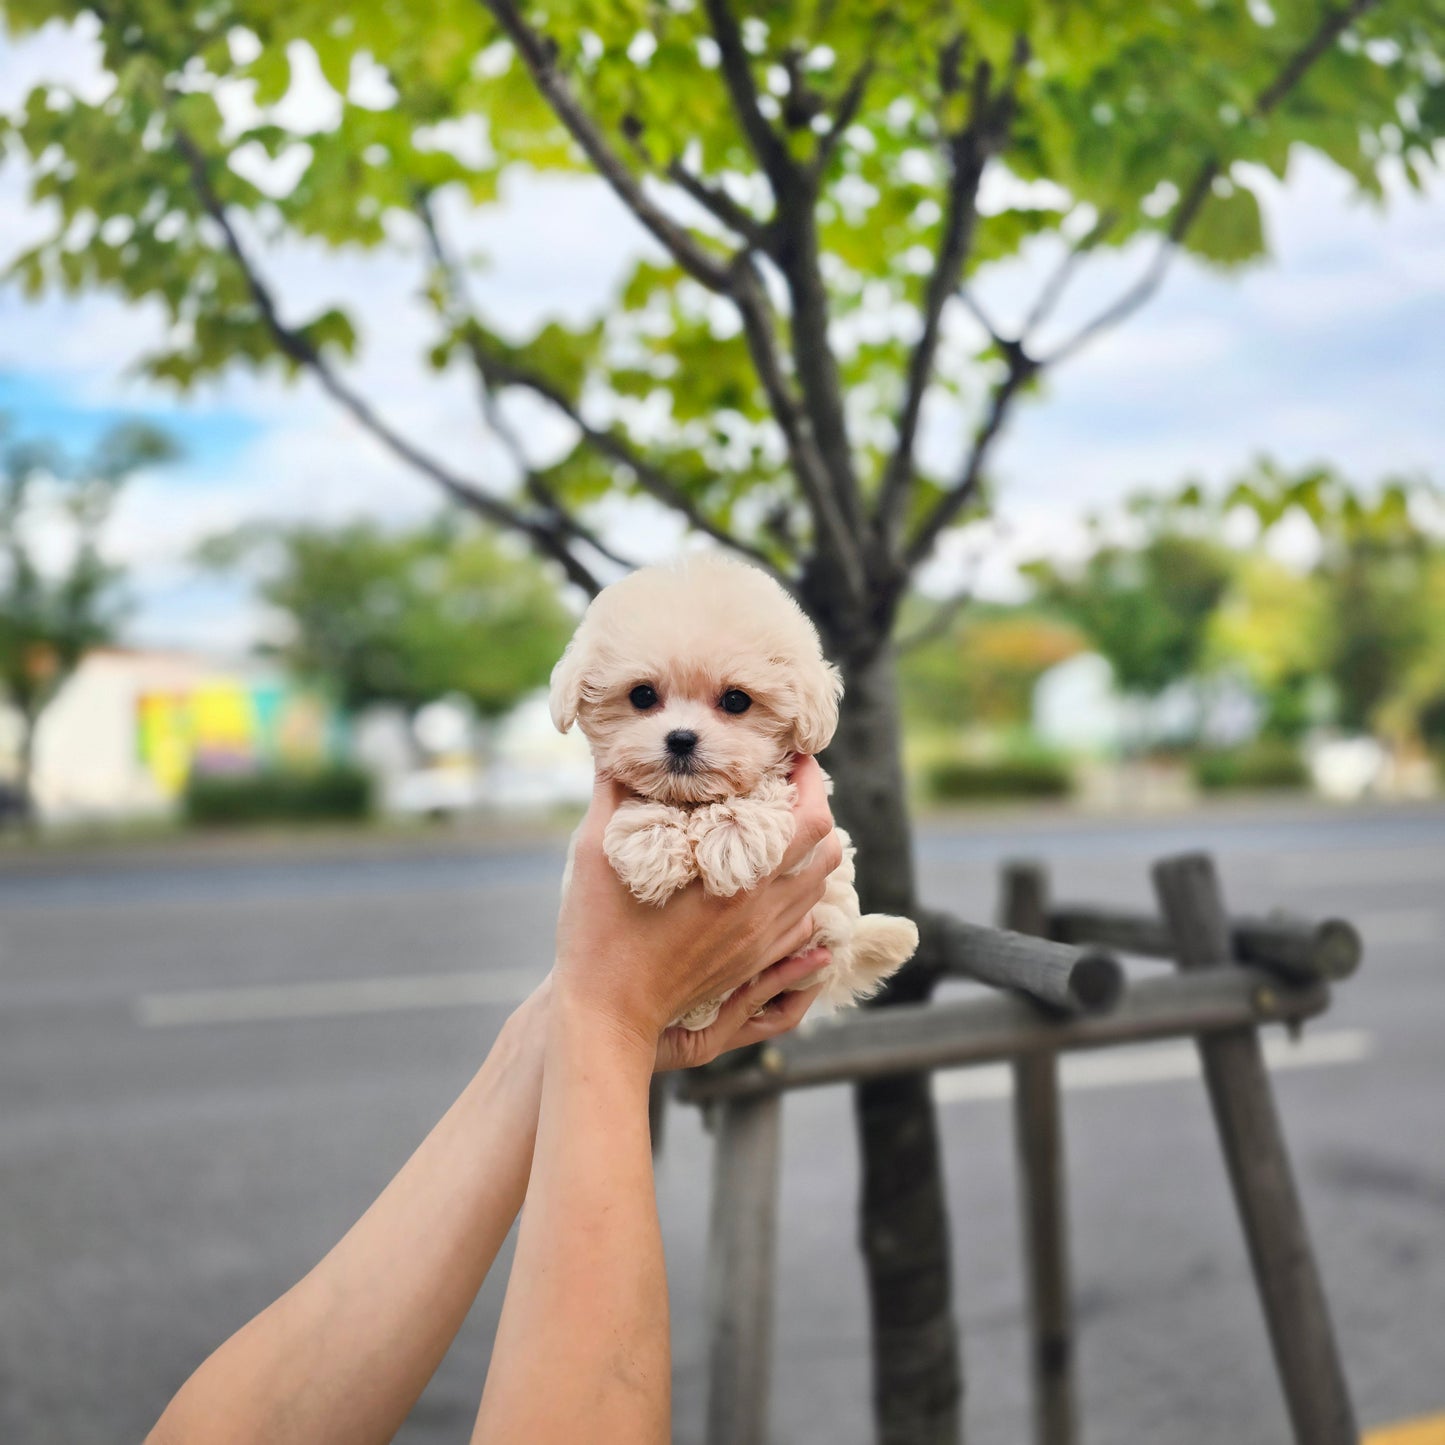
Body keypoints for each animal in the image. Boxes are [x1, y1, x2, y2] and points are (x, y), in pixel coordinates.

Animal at [546, 546, 919, 1034]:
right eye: (642, 695)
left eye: (736, 700)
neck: (692, 801)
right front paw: (651, 845)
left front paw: (732, 838)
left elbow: (760, 792)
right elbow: (645, 805)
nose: (681, 739)